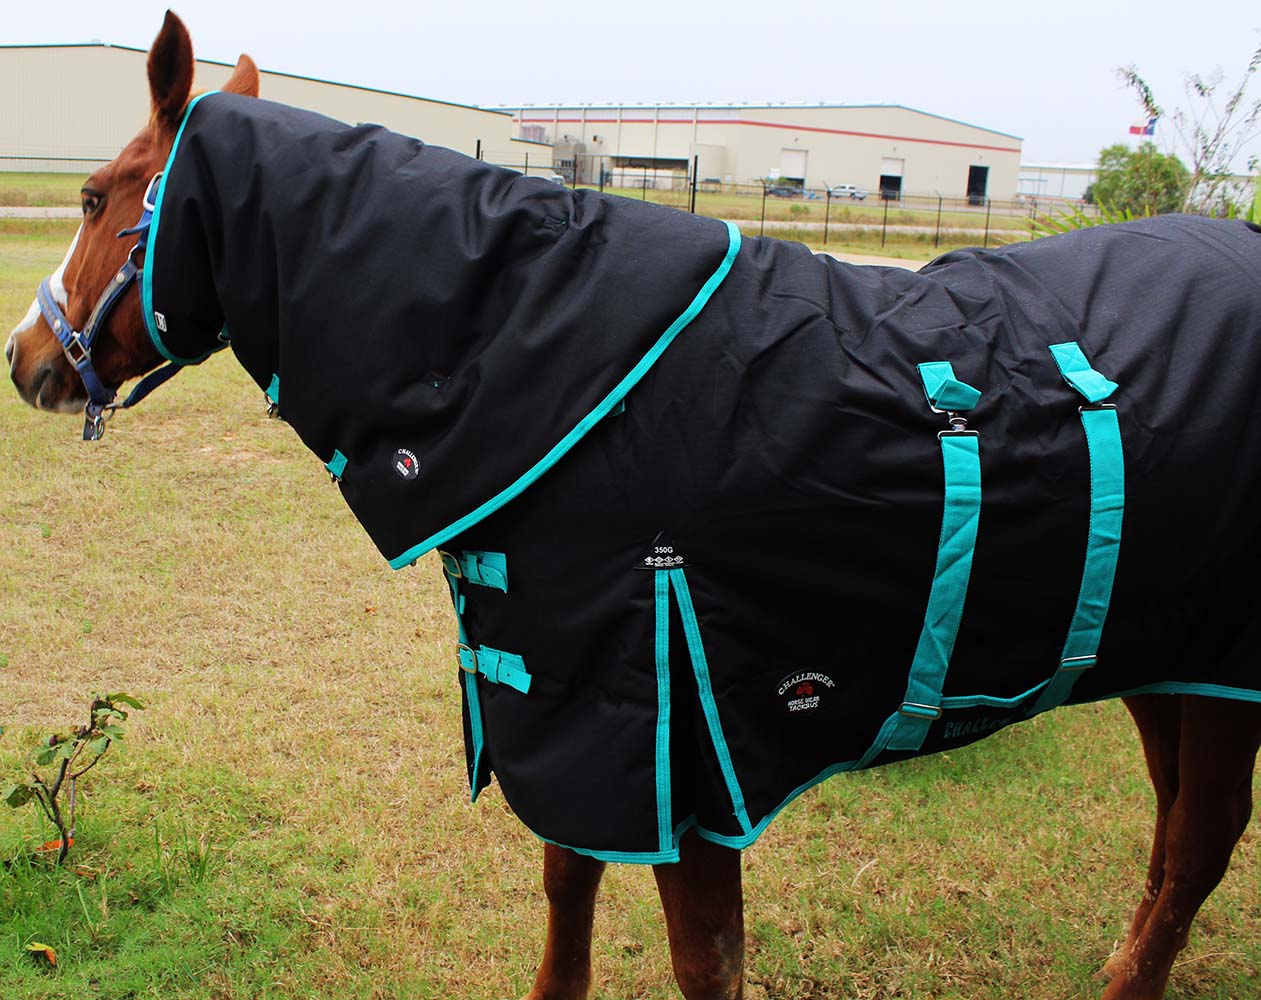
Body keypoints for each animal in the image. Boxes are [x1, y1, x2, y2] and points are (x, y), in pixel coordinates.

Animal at [8, 13, 1261, 1000]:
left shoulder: (687, 755)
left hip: (1224, 670)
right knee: (1171, 839)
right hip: (1163, 661)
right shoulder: (576, 718)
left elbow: (706, 960)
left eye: (94, 198)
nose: (24, 359)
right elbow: (567, 884)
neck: (560, 367)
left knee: (1199, 845)